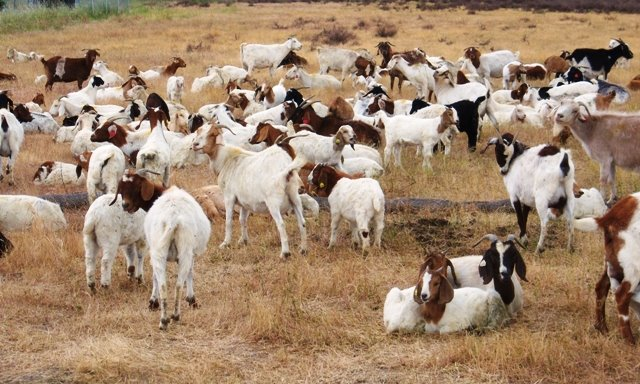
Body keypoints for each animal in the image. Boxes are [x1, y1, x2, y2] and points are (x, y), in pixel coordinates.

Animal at [110, 170, 210, 332]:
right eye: (122, 189)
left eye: (137, 186)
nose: (125, 205)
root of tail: (173, 219)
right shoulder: (191, 254)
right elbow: (190, 274)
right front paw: (191, 300)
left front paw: (153, 302)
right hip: (183, 251)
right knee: (176, 283)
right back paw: (173, 316)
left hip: (159, 252)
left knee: (163, 282)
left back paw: (164, 319)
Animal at [572, 194, 640, 344]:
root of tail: (611, 215)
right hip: (634, 268)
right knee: (621, 297)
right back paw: (630, 341)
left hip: (611, 262)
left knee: (601, 287)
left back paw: (602, 328)